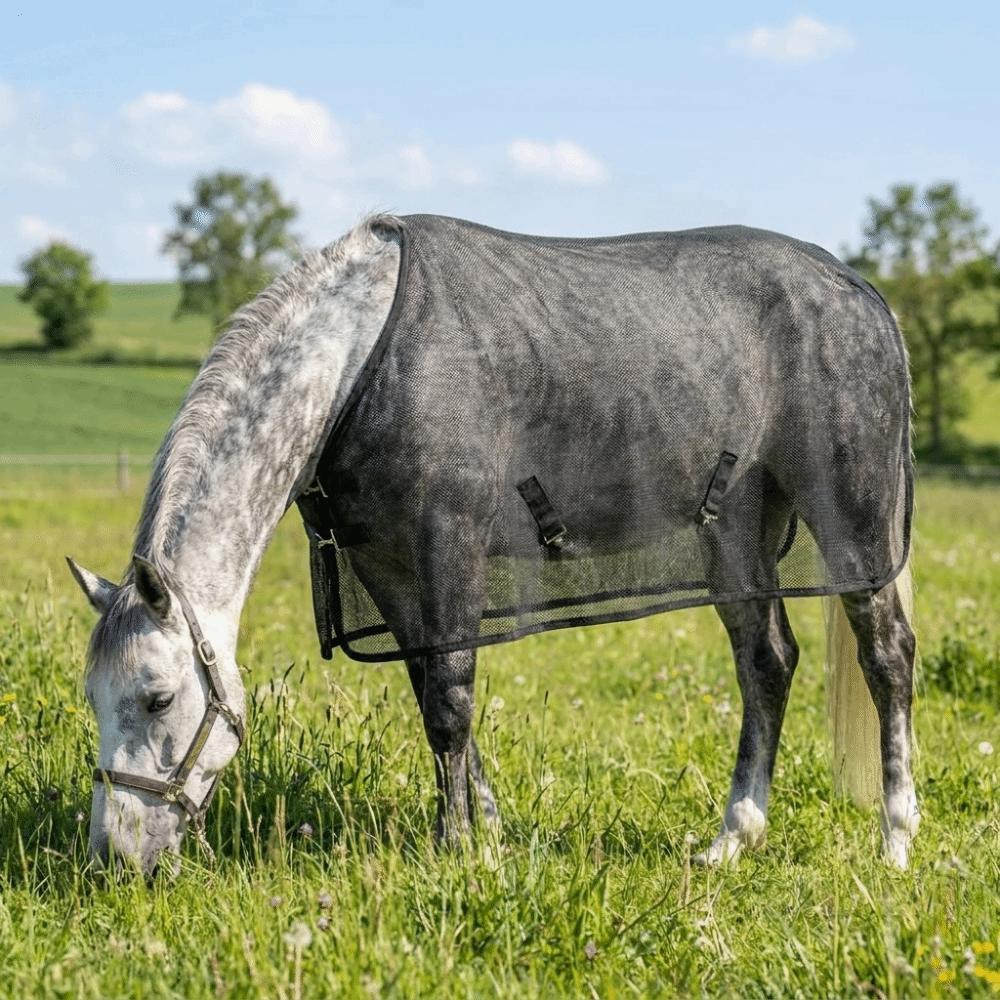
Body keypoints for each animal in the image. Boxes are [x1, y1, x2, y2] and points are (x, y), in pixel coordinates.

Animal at [67, 213, 918, 876]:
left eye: (158, 697)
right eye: (94, 697)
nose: (117, 858)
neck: (360, 362)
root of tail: (861, 290)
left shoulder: (448, 544)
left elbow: (450, 700)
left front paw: (455, 851)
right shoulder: (388, 568)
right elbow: (432, 695)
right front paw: (488, 834)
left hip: (852, 525)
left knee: (887, 658)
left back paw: (897, 839)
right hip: (735, 536)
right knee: (766, 663)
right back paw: (732, 840)